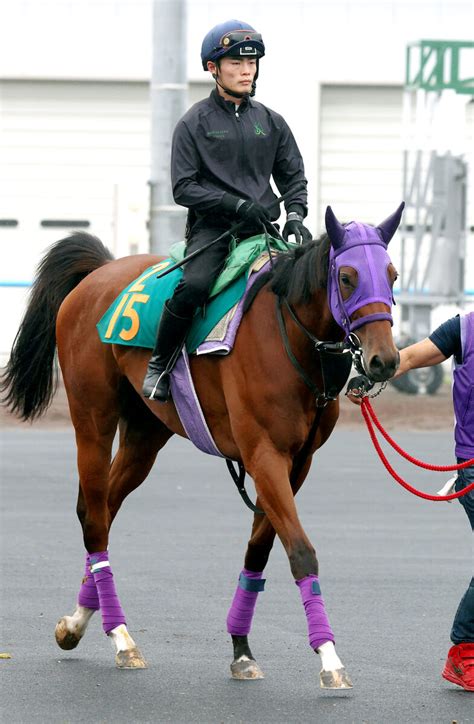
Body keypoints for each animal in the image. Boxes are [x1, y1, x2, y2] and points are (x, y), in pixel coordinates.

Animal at [1, 204, 402, 692]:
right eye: (346, 276)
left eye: (392, 274)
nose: (384, 360)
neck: (286, 336)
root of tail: (100, 272)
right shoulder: (264, 455)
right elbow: (301, 551)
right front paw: (328, 657)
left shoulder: (296, 464)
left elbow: (260, 550)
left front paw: (242, 649)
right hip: (92, 418)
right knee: (94, 516)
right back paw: (120, 636)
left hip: (145, 435)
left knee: (103, 508)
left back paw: (78, 621)